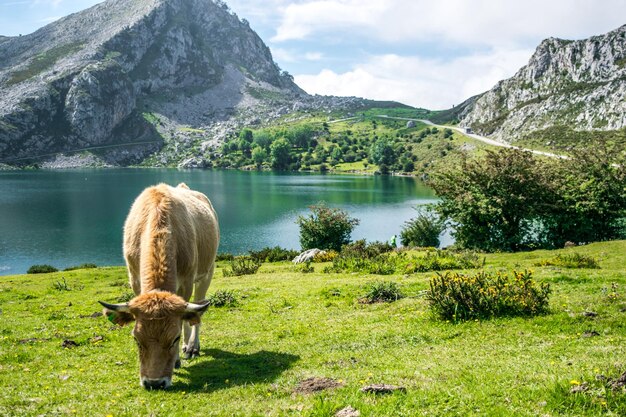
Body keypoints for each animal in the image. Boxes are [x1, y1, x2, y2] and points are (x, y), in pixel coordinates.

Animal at [98, 184, 218, 388]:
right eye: (136, 339)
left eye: (174, 338)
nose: (154, 383)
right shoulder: (134, 279)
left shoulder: (186, 281)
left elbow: (184, 319)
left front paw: (178, 356)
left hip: (206, 273)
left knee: (197, 311)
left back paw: (192, 347)